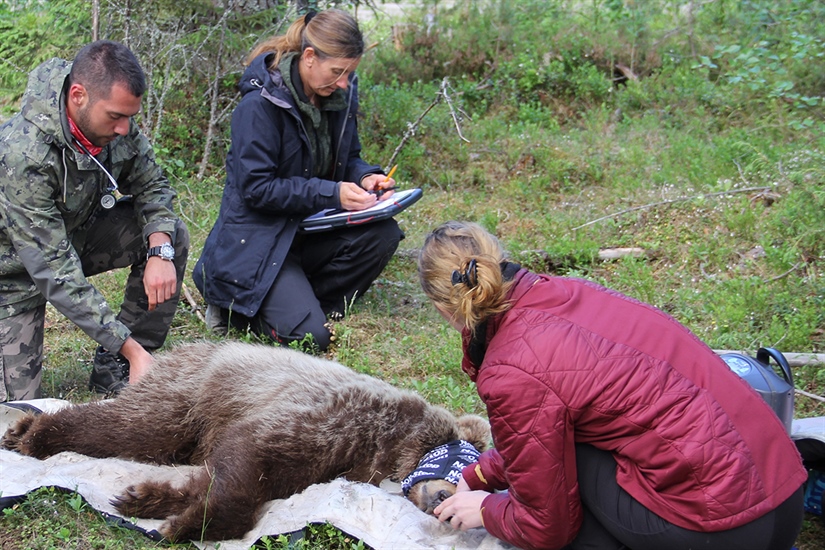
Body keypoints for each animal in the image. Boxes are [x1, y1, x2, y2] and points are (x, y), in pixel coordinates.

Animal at [1, 342, 490, 544]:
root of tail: (181, 348)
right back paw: (32, 433)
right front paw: (190, 524)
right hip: (193, 387)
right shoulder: (333, 419)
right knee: (131, 425)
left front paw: (149, 498)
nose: (442, 502)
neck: (386, 449)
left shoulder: (324, 464)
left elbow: (220, 476)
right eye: (462, 471)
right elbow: (250, 456)